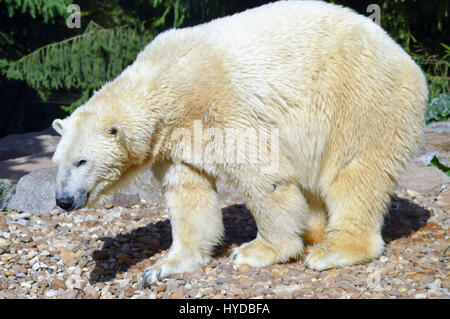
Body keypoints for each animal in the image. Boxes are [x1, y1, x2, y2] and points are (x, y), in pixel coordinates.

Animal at [51, 1, 428, 288]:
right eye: (58, 162)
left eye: (82, 161)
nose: (63, 200)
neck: (165, 82)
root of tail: (406, 58)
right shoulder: (174, 143)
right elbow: (189, 195)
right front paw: (161, 268)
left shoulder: (220, 106)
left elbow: (264, 174)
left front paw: (254, 251)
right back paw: (315, 232)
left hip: (361, 97)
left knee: (353, 170)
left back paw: (333, 250)